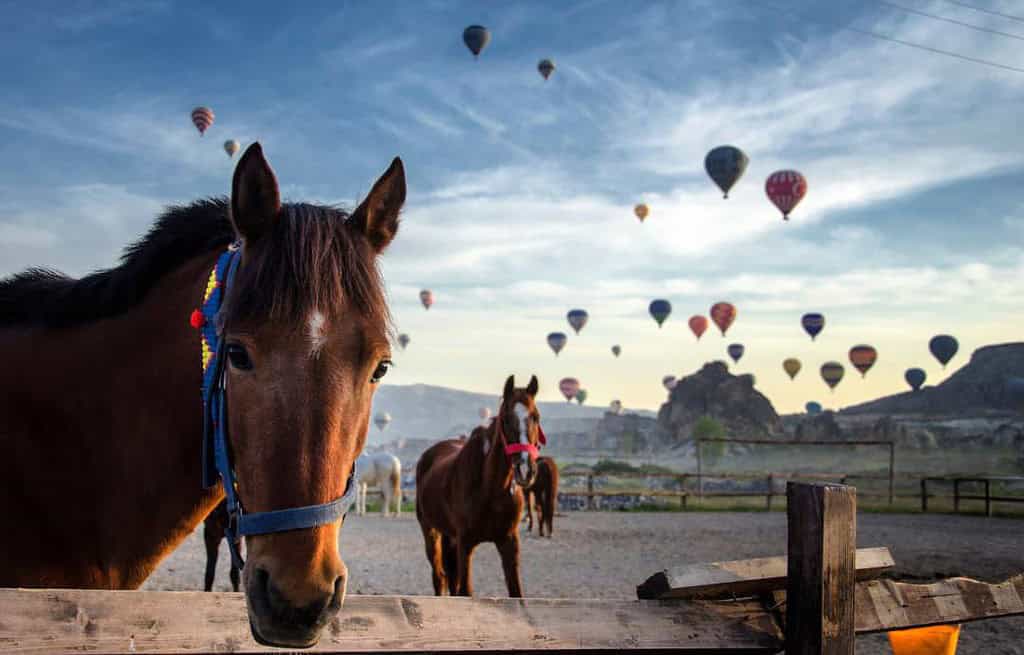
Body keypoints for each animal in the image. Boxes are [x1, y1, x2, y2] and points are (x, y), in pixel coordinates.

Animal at [413, 376, 548, 597]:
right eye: (506, 419)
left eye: (536, 416)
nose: (525, 470)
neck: (490, 489)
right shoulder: (466, 544)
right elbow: (465, 590)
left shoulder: (509, 542)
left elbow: (516, 593)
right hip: (431, 531)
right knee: (439, 577)